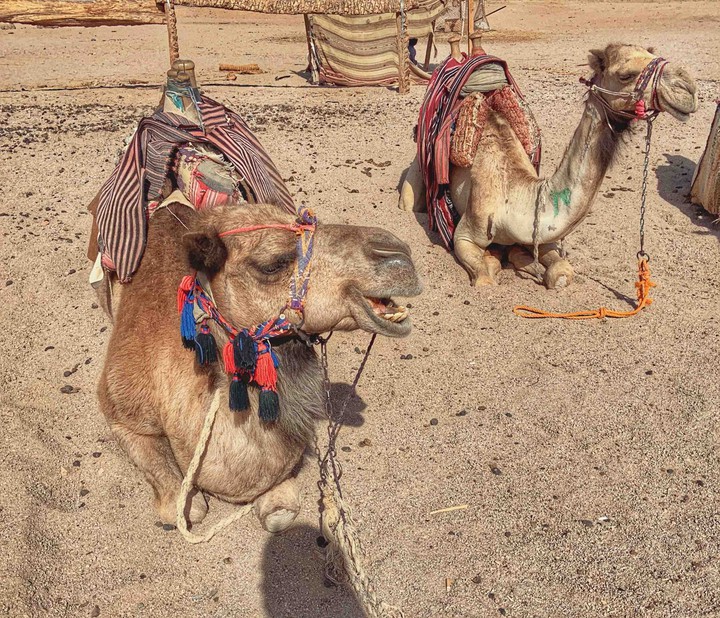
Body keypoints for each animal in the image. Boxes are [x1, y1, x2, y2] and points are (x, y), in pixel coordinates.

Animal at [98, 203, 421, 532]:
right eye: (272, 264)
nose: (398, 253)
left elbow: (281, 504)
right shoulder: (120, 409)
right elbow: (181, 498)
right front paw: (183, 503)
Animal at [400, 43, 698, 288]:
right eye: (626, 75)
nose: (688, 88)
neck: (514, 196)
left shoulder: (543, 236)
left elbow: (561, 271)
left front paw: (525, 261)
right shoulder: (464, 235)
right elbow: (485, 276)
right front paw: (497, 259)